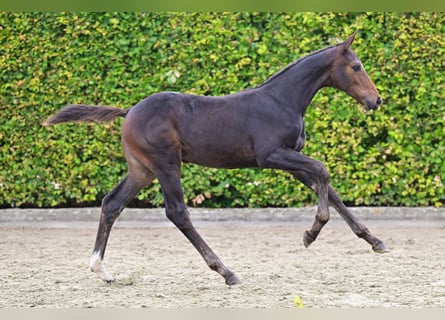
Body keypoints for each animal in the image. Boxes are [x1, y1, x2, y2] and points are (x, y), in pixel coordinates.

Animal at [43, 33, 386, 286]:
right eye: (356, 66)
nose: (377, 100)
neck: (281, 100)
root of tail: (129, 112)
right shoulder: (271, 155)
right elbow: (323, 172)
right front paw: (311, 234)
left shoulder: (292, 157)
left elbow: (328, 189)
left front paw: (374, 240)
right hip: (167, 165)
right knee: (177, 212)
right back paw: (226, 271)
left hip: (142, 170)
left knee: (112, 203)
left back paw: (101, 269)